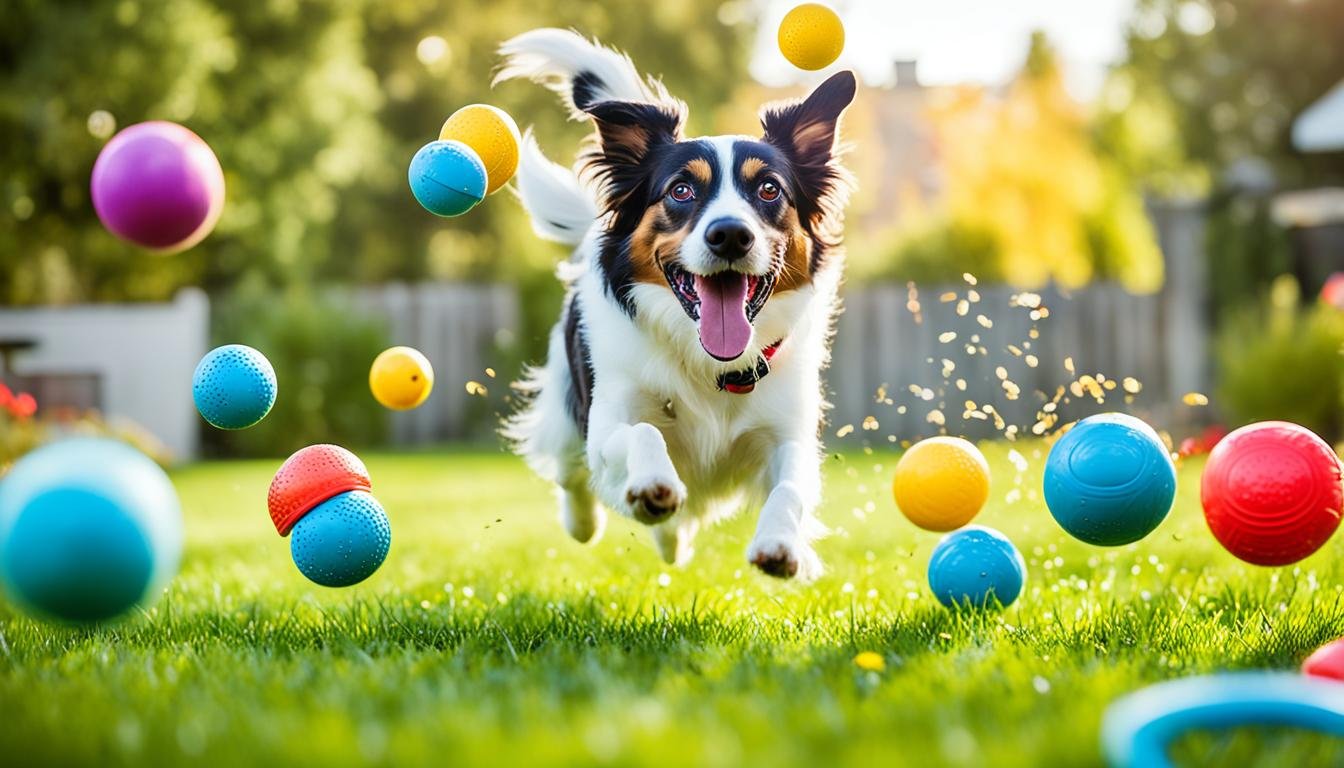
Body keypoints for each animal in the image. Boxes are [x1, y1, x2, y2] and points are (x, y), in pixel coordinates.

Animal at [499, 31, 854, 583]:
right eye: (681, 190)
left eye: (768, 188)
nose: (730, 234)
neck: (713, 365)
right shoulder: (607, 423)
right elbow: (642, 432)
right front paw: (651, 485)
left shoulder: (788, 432)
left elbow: (792, 485)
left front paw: (779, 544)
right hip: (564, 403)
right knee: (570, 474)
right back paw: (588, 522)